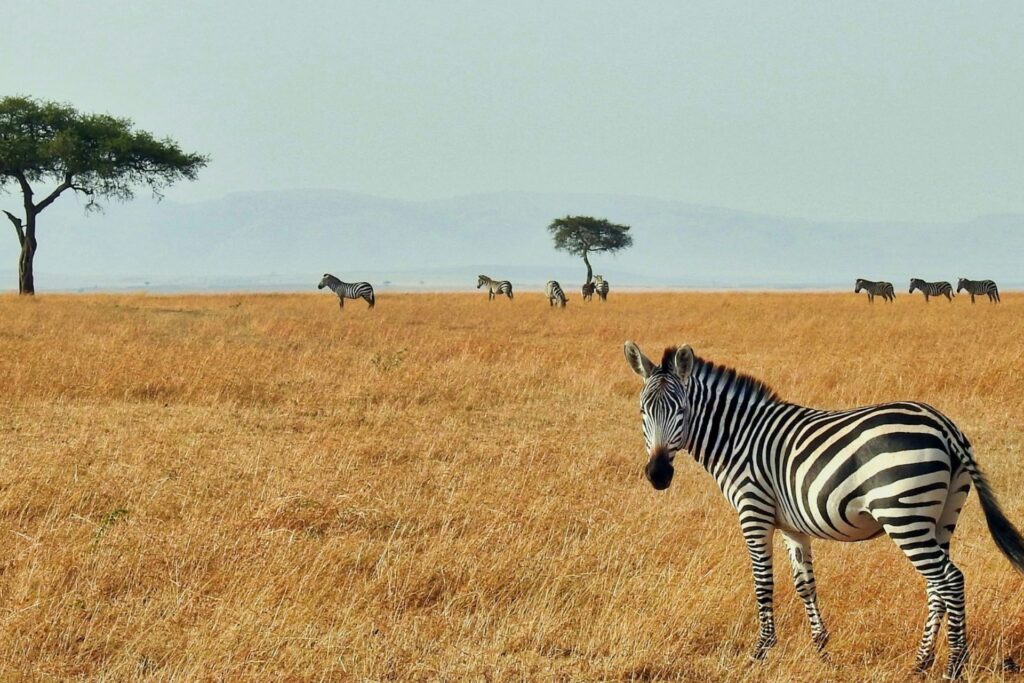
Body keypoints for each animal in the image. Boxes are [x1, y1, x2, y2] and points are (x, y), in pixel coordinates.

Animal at [623, 341, 1024, 679]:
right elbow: (805, 584)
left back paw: (953, 666)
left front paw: (760, 651)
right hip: (941, 517)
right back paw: (921, 663)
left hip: (903, 514)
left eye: (681, 410)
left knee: (951, 580)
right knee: (937, 585)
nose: (658, 475)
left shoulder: (754, 511)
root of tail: (944, 425)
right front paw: (822, 650)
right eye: (642, 411)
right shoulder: (792, 525)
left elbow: (763, 583)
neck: (738, 438)